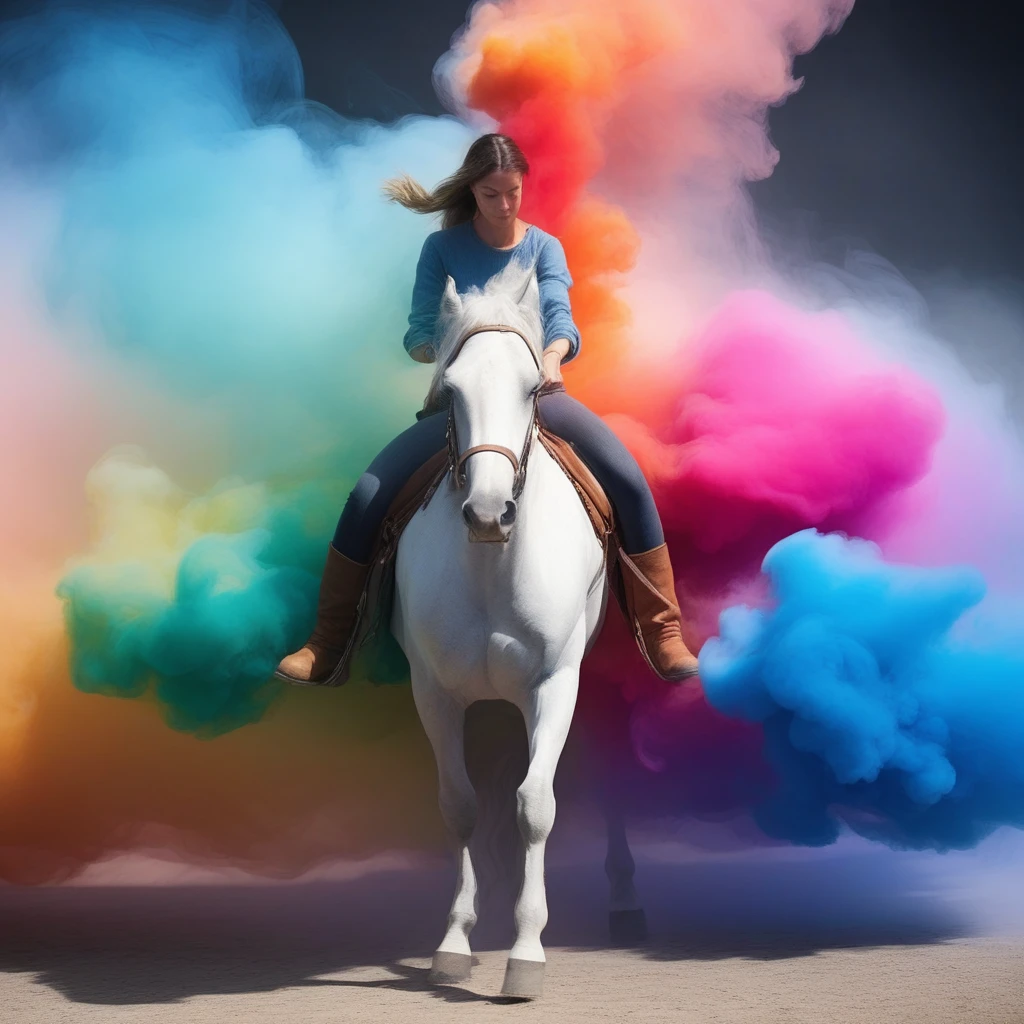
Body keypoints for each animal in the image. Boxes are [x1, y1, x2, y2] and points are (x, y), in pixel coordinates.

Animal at [391, 258, 610, 999]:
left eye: (533, 387)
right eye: (451, 391)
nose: (490, 512)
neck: (491, 566)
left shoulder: (555, 684)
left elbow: (533, 806)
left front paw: (526, 954)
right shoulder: (433, 694)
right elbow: (460, 806)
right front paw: (455, 944)